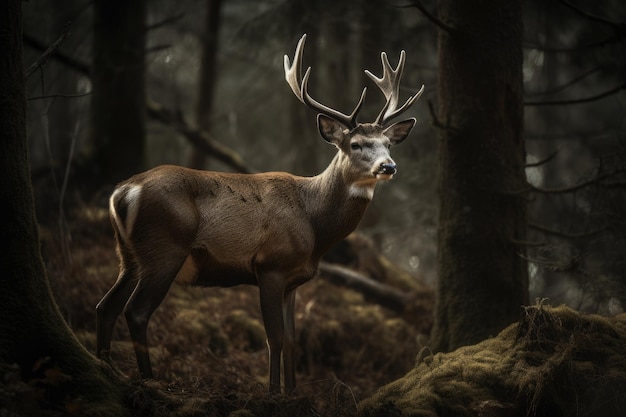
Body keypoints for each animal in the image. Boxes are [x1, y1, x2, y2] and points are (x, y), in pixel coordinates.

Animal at [94, 34, 424, 392]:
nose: (388, 166)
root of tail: (124, 191)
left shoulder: (294, 279)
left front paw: (293, 394)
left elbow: (292, 340)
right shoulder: (270, 265)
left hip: (129, 254)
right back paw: (149, 380)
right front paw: (273, 393)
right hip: (164, 247)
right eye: (356, 144)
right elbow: (274, 338)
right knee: (137, 311)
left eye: (387, 144)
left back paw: (106, 368)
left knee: (106, 306)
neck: (314, 223)